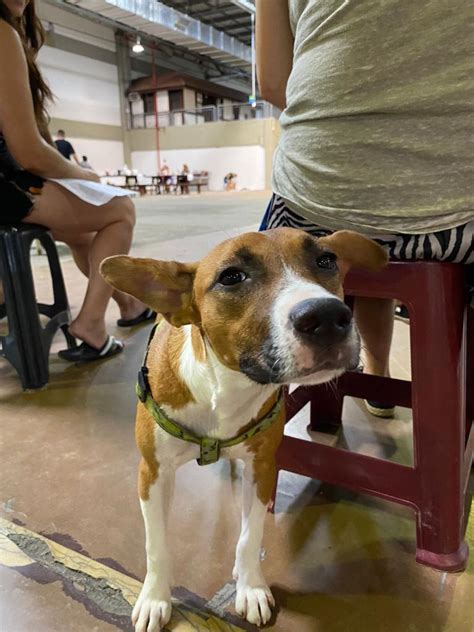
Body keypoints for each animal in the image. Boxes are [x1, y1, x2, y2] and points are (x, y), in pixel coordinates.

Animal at [102, 228, 386, 632]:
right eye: (231, 277)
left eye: (326, 260)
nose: (328, 316)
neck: (226, 387)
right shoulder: (153, 472)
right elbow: (156, 545)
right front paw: (155, 598)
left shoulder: (262, 467)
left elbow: (250, 536)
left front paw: (250, 587)